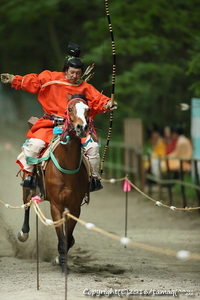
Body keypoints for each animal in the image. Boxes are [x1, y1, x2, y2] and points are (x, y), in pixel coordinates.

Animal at [17, 96, 90, 272]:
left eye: (88, 110)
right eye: (70, 109)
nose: (82, 127)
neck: (67, 168)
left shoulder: (74, 207)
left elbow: (68, 238)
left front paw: (60, 259)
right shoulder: (56, 205)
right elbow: (62, 239)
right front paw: (63, 266)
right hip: (28, 186)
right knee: (26, 204)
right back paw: (23, 233)